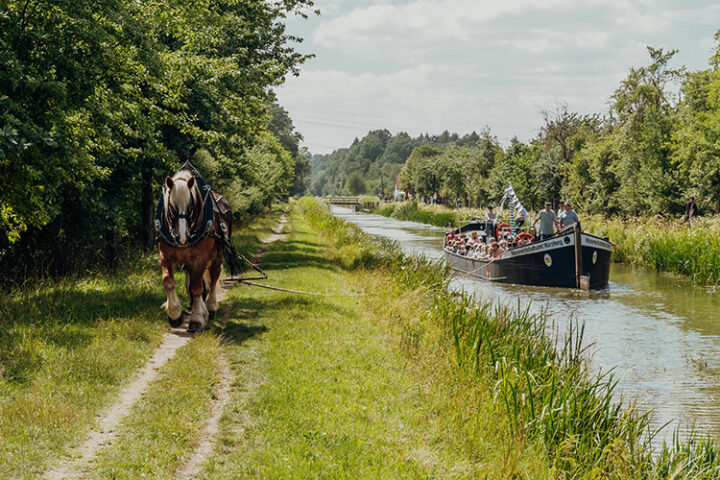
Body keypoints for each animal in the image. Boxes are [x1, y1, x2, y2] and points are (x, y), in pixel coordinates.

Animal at [156, 163, 232, 332]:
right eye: (171, 205)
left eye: (191, 206)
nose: (182, 237)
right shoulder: (165, 255)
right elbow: (168, 282)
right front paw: (175, 315)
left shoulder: (200, 259)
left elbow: (197, 288)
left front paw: (197, 318)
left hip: (218, 257)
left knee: (213, 280)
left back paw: (210, 308)